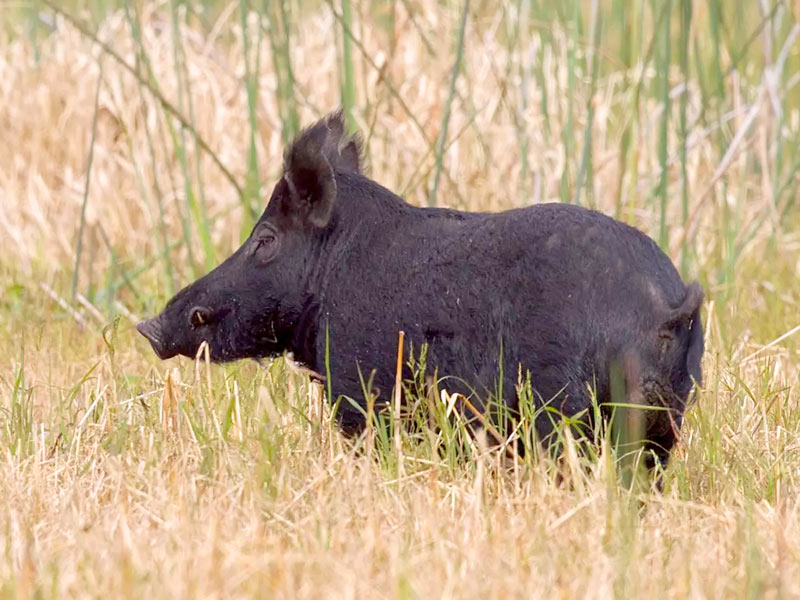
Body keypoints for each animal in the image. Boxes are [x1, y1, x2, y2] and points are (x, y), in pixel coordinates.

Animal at [141, 112, 704, 468]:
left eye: (264, 239)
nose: (148, 326)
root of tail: (665, 304)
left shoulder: (360, 394)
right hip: (666, 420)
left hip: (567, 410)